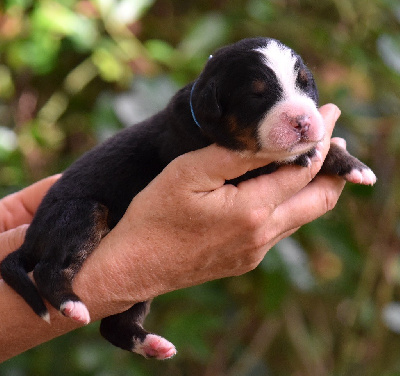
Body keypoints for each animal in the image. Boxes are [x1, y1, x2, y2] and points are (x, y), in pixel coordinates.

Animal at [0, 36, 376, 360]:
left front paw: (354, 165)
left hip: (136, 289)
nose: (303, 122)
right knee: (48, 270)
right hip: (80, 213)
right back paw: (72, 304)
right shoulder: (230, 167)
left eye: (306, 84)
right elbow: (272, 159)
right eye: (257, 96)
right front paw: (314, 155)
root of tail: (29, 240)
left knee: (115, 324)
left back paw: (151, 345)